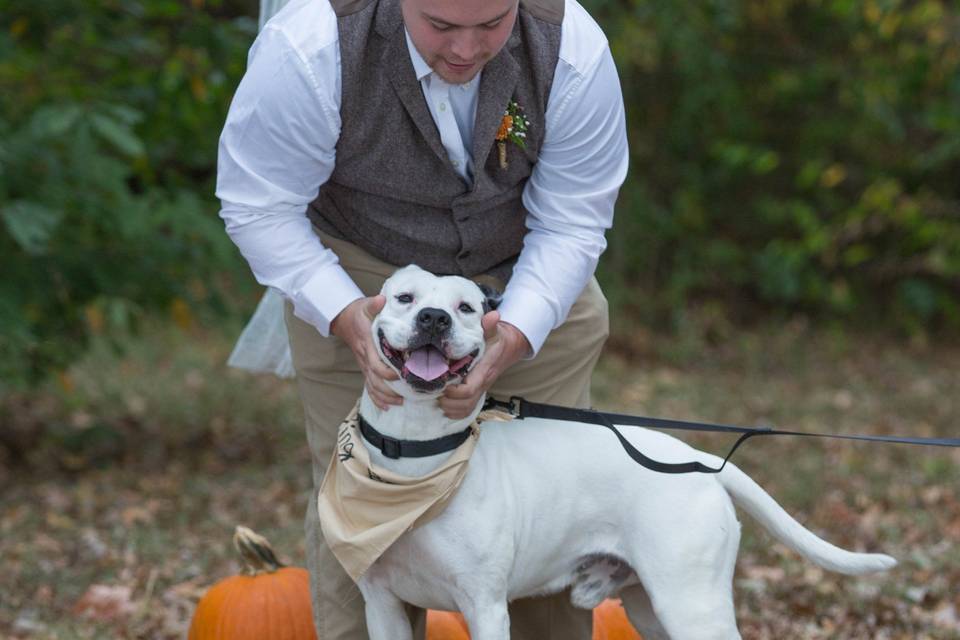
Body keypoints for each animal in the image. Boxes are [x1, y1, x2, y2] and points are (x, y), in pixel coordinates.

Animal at [354, 264, 900, 640]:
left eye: (466, 308)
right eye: (404, 298)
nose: (434, 318)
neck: (416, 454)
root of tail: (701, 462)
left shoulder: (485, 608)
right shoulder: (381, 606)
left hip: (691, 605)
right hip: (649, 608)